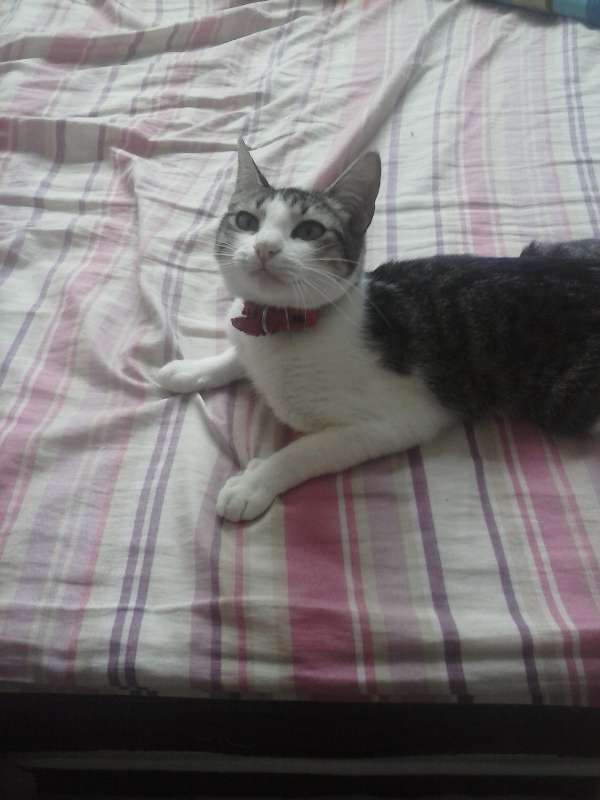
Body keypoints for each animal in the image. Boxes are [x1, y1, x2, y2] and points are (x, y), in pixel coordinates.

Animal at [157, 139, 600, 522]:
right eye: (246, 221)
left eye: (310, 231)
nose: (264, 247)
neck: (281, 327)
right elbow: (235, 353)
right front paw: (189, 371)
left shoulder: (396, 421)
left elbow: (307, 449)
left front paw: (254, 482)